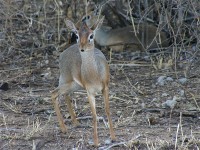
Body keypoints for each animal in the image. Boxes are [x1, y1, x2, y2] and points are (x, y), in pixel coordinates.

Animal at [51, 17, 115, 146]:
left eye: (91, 35)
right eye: (77, 35)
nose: (82, 47)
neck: (94, 74)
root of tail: (63, 53)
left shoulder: (105, 88)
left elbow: (107, 110)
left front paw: (113, 137)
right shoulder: (90, 92)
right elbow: (94, 116)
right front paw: (96, 142)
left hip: (74, 85)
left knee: (65, 95)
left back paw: (75, 123)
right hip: (68, 81)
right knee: (54, 93)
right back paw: (64, 129)